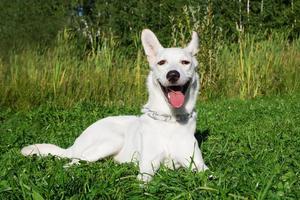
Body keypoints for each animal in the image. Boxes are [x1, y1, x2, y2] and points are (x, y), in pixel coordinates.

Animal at [21, 28, 209, 182]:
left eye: (185, 62)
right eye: (161, 62)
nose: (173, 75)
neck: (169, 119)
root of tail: (73, 145)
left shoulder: (198, 165)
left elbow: (208, 176)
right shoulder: (147, 166)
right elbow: (144, 182)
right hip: (112, 140)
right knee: (72, 163)